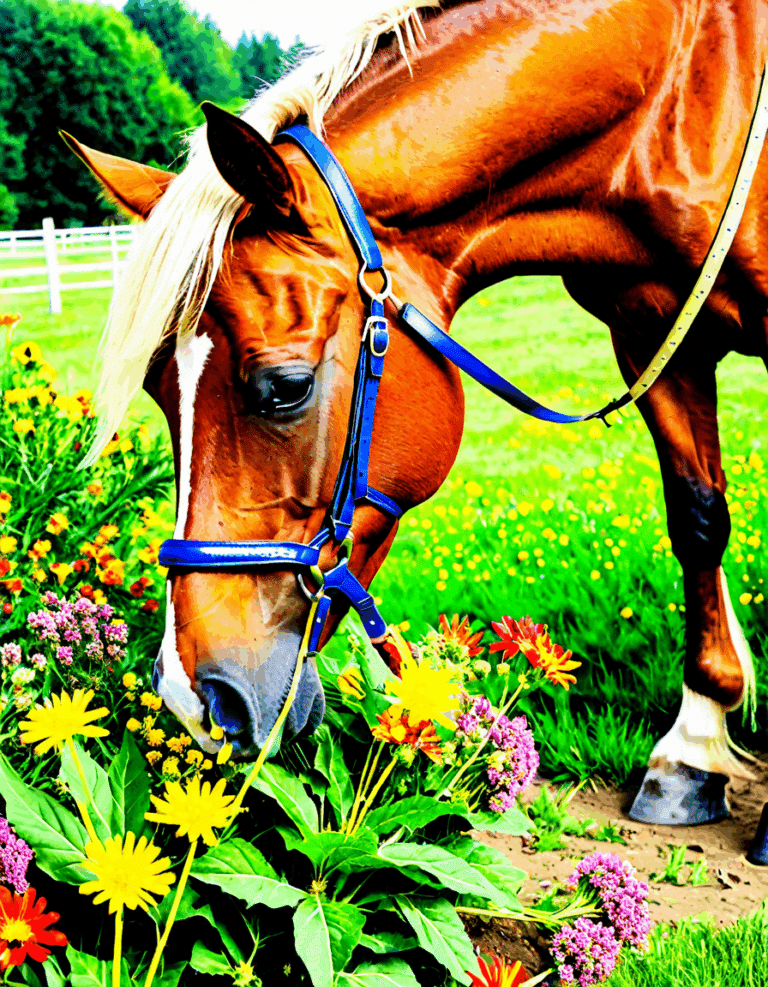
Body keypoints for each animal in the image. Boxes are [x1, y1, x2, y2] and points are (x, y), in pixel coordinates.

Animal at [64, 0, 768, 827]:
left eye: (287, 386)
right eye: (157, 389)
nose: (191, 698)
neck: (684, 96)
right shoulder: (654, 339)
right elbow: (698, 519)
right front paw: (692, 750)